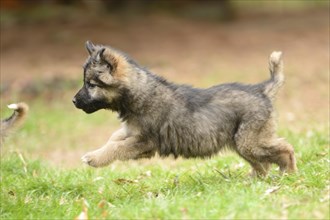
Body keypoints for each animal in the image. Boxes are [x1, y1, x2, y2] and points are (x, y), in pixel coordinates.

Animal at [73, 40, 298, 176]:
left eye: (91, 84)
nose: (74, 101)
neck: (139, 91)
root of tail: (261, 89)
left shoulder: (144, 141)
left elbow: (116, 147)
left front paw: (94, 158)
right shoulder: (132, 133)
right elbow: (114, 139)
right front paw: (97, 152)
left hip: (248, 141)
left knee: (286, 149)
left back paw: (289, 173)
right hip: (243, 143)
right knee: (263, 163)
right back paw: (254, 179)